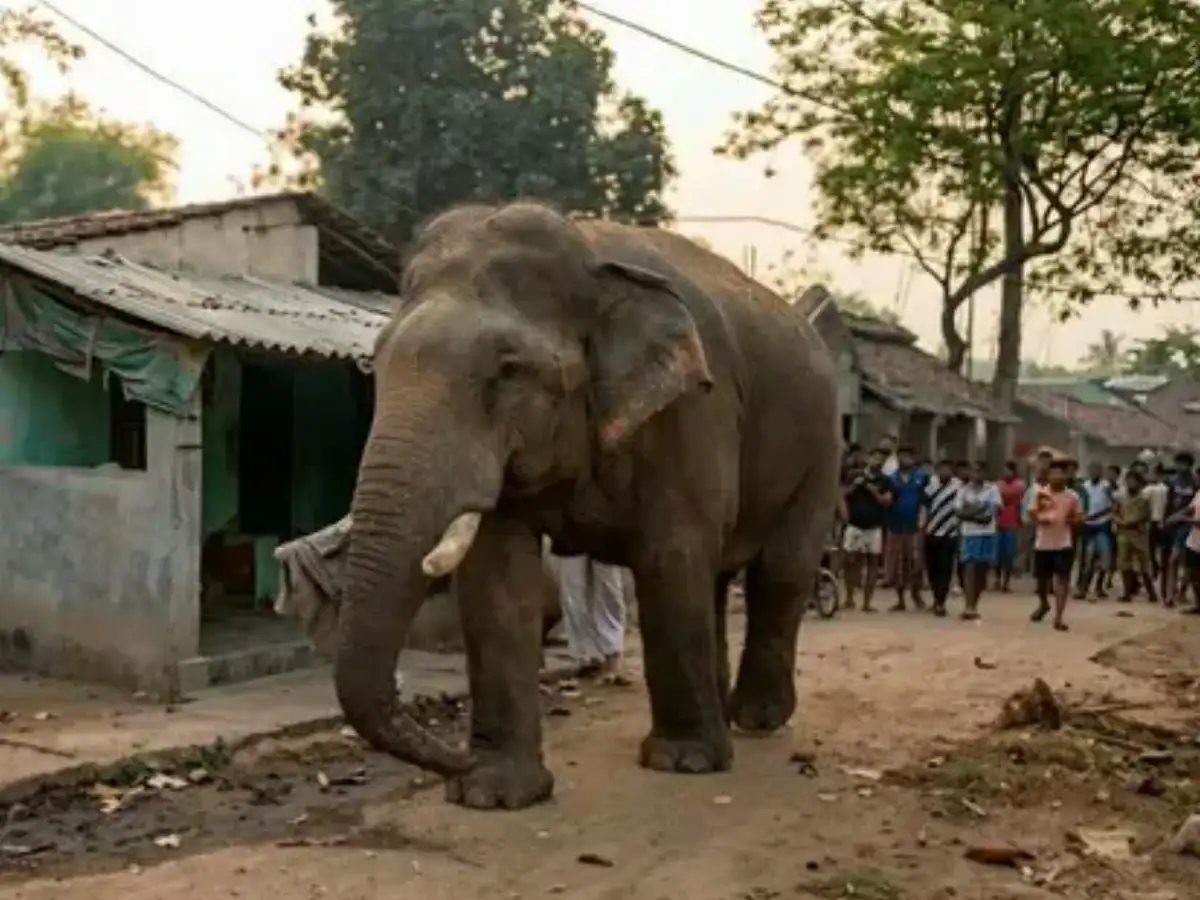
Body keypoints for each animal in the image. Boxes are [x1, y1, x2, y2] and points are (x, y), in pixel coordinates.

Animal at [336, 200, 841, 810]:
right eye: (377, 362)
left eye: (509, 370)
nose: (455, 757)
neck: (588, 254)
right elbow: (496, 578)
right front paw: (492, 793)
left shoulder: (695, 409)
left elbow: (671, 556)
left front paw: (683, 763)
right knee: (720, 578)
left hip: (821, 447)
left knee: (781, 572)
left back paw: (756, 720)